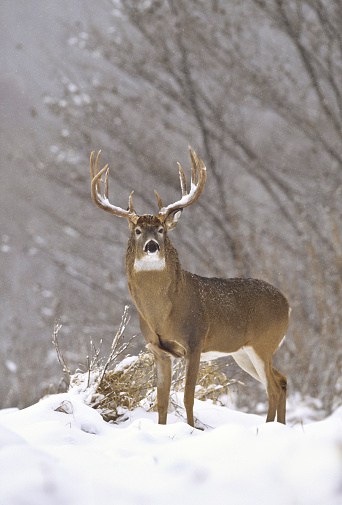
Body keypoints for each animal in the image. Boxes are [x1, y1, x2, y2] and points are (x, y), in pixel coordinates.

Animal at [89, 147, 290, 426]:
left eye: (161, 229)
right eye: (138, 230)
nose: (152, 246)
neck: (163, 314)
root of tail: (287, 303)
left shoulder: (195, 341)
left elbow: (188, 398)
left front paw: (192, 429)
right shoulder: (158, 350)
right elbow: (161, 401)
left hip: (264, 343)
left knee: (272, 387)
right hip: (243, 352)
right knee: (282, 380)